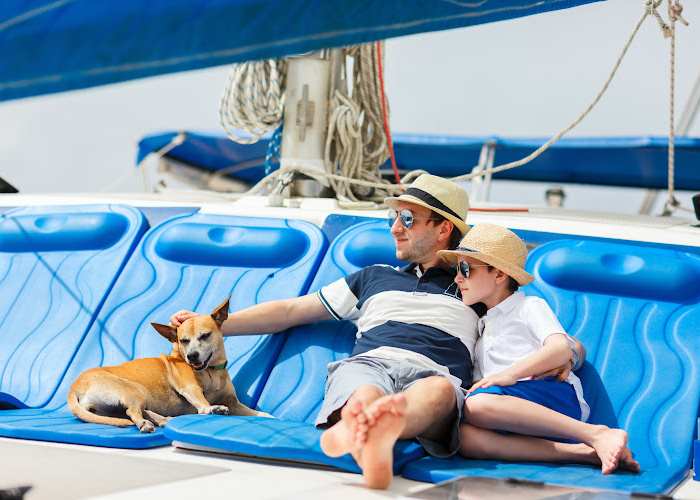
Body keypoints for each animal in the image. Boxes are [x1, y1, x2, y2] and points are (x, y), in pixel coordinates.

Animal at [67, 298, 268, 432]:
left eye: (205, 335)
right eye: (183, 340)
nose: (192, 356)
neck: (211, 372)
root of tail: (74, 387)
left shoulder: (234, 402)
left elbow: (257, 414)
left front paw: (266, 416)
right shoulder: (191, 389)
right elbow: (202, 403)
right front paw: (213, 407)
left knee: (137, 411)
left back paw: (163, 420)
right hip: (136, 390)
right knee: (133, 411)